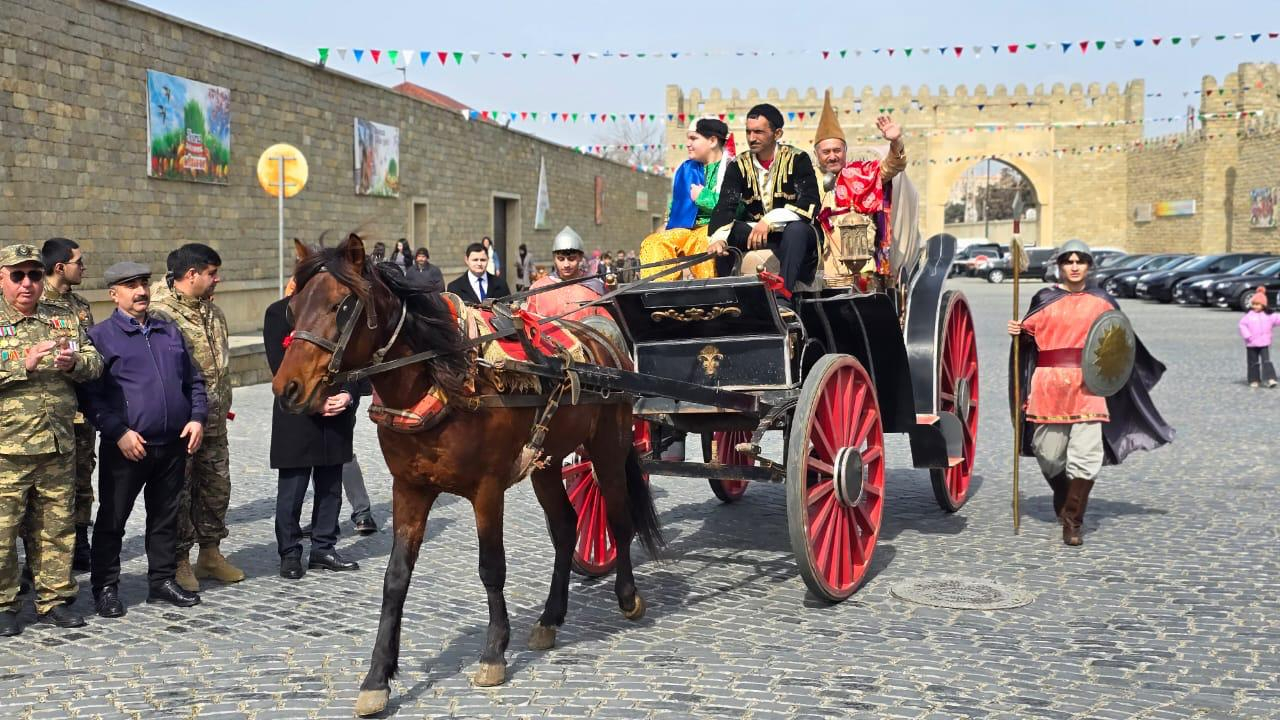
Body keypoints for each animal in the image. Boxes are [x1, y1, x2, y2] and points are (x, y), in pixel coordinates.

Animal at [270, 234, 660, 712]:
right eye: (292, 307)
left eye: (340, 306)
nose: (286, 388)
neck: (444, 379)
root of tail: (603, 342)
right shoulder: (410, 489)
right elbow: (395, 579)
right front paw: (377, 677)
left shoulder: (487, 490)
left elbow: (491, 567)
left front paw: (493, 653)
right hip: (547, 462)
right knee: (567, 527)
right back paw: (550, 617)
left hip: (608, 447)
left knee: (619, 518)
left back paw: (628, 597)